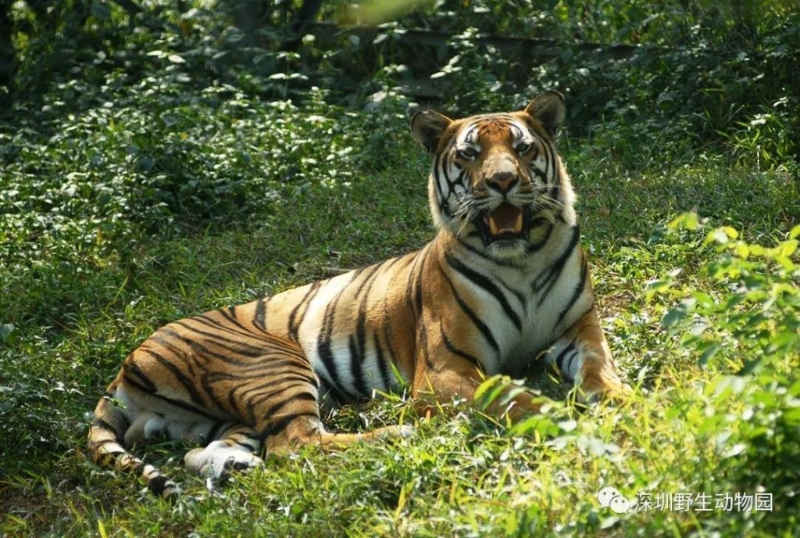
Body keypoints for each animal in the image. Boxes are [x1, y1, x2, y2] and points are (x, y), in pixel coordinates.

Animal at [87, 90, 628, 496]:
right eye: (470, 154)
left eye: (522, 149)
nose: (503, 181)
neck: (521, 259)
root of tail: (127, 363)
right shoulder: (444, 371)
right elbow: (521, 399)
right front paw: (574, 422)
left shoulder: (580, 328)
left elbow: (601, 369)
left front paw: (625, 399)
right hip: (270, 364)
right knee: (298, 443)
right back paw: (401, 431)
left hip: (220, 419)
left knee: (206, 452)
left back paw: (234, 466)